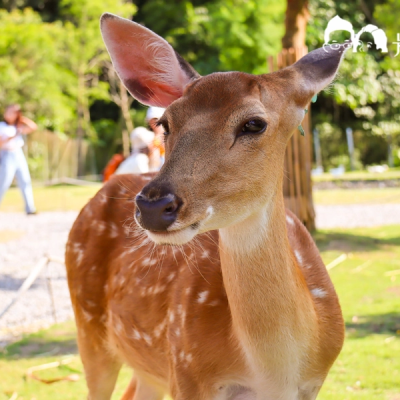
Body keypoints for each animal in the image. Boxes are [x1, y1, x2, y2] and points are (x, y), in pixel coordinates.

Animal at [64, 14, 346, 400]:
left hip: (148, 364)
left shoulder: (314, 383)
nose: (154, 206)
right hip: (90, 329)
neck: (275, 374)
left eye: (253, 123)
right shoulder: (188, 373)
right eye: (164, 123)